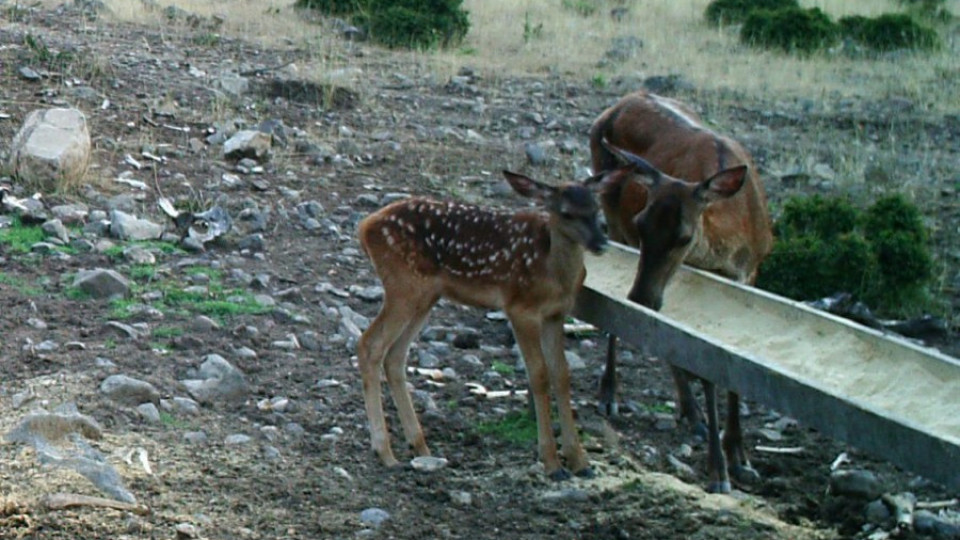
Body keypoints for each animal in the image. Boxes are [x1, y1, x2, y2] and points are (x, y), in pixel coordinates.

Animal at [356, 170, 612, 480]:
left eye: (596, 209)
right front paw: (552, 463)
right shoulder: (520, 307)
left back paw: (419, 445)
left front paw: (579, 461)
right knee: (370, 345)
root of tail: (365, 227)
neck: (555, 274)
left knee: (395, 355)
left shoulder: (556, 314)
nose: (600, 242)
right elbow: (539, 375)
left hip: (425, 295)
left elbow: (561, 374)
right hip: (403, 286)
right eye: (566, 213)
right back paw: (384, 451)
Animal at [588, 90, 776, 496]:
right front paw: (718, 470)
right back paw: (611, 394)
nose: (641, 298)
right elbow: (706, 368)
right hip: (610, 216)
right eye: (642, 222)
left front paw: (740, 456)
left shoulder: (751, 274)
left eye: (684, 237)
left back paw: (691, 413)